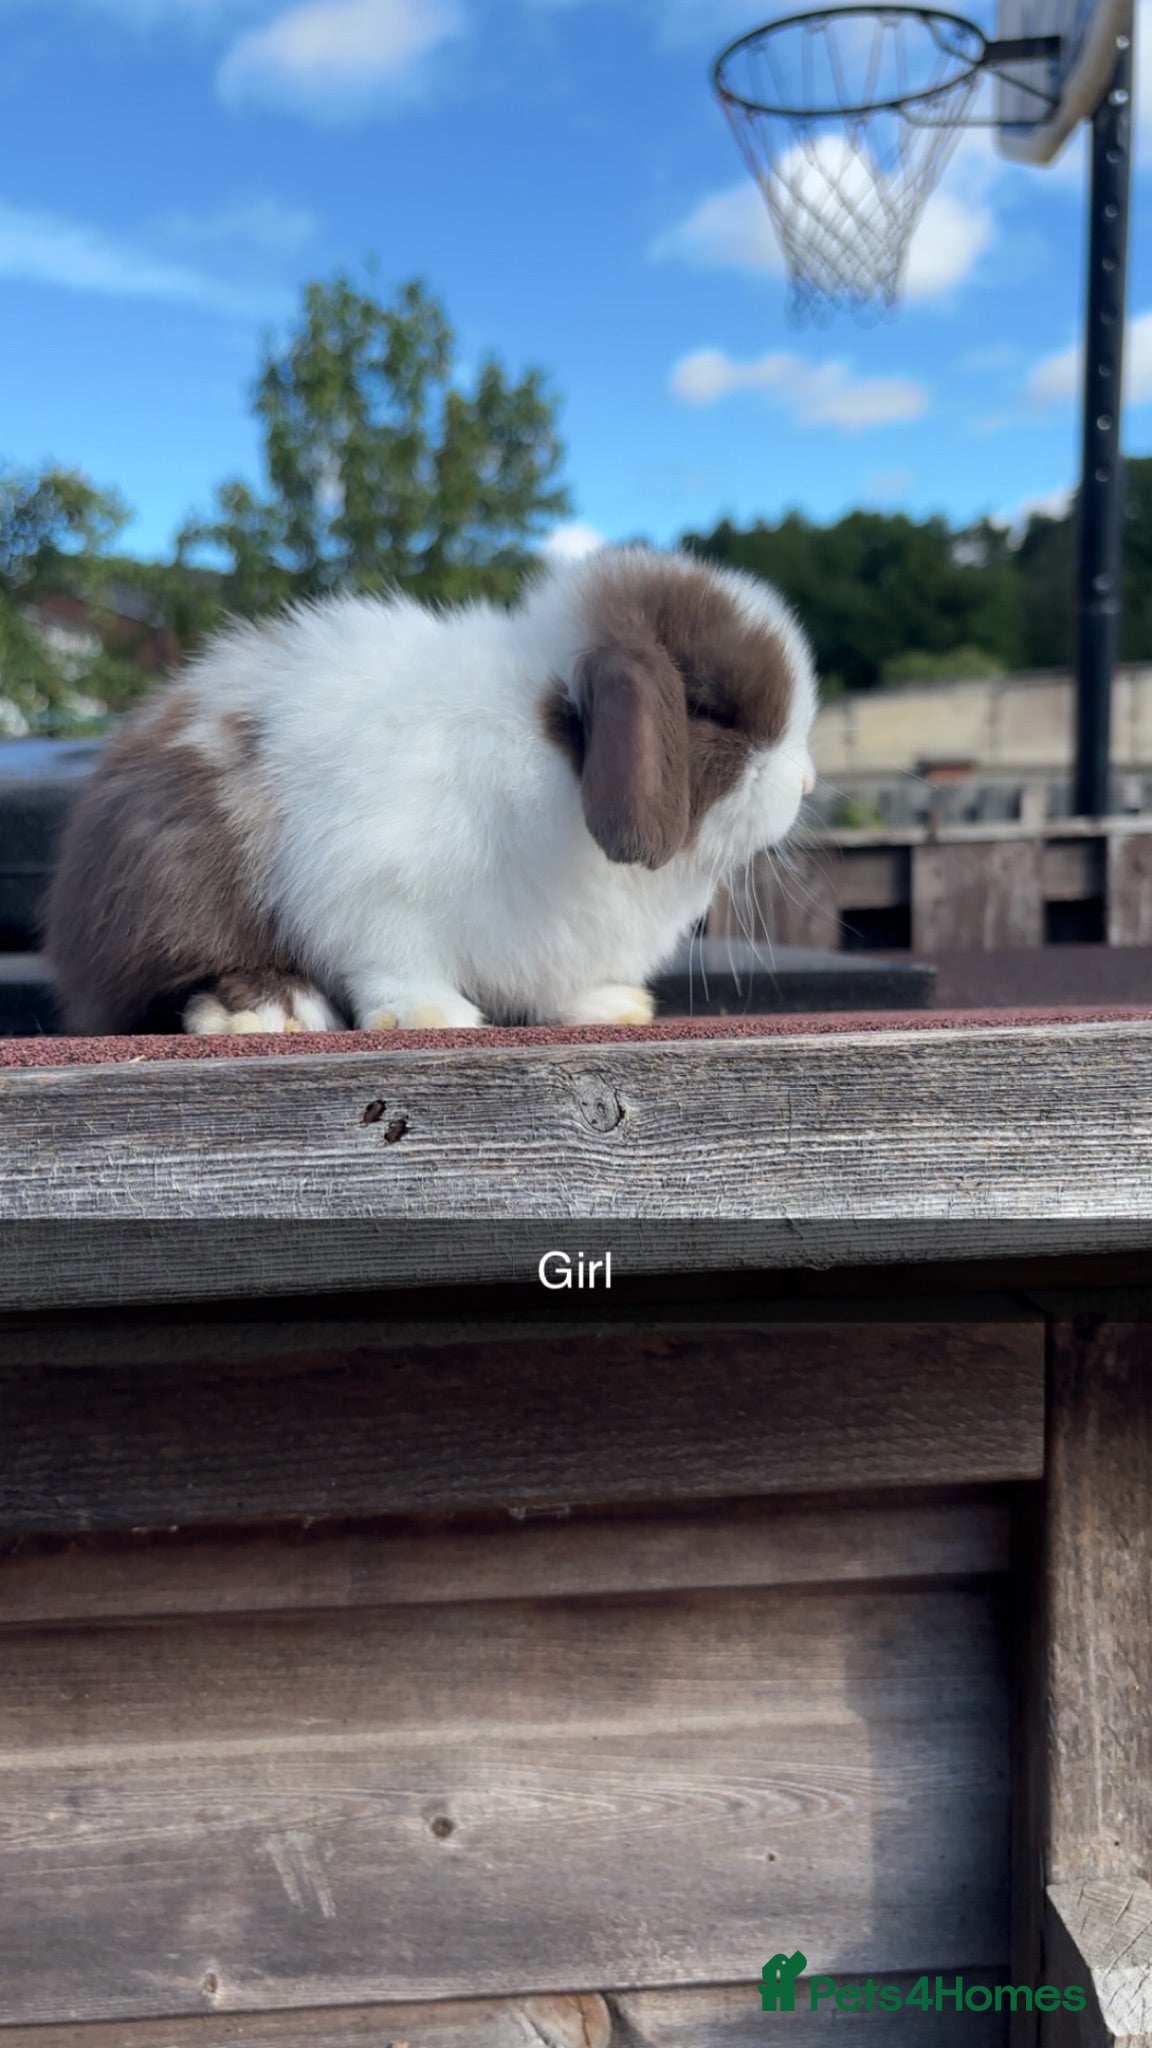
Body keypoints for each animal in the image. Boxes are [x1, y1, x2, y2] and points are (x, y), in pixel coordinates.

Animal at [44, 544, 818, 1036]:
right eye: (711, 708)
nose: (808, 780)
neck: (552, 756)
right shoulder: (379, 893)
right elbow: (396, 964)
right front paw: (432, 1016)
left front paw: (610, 1005)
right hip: (175, 887)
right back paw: (270, 1011)